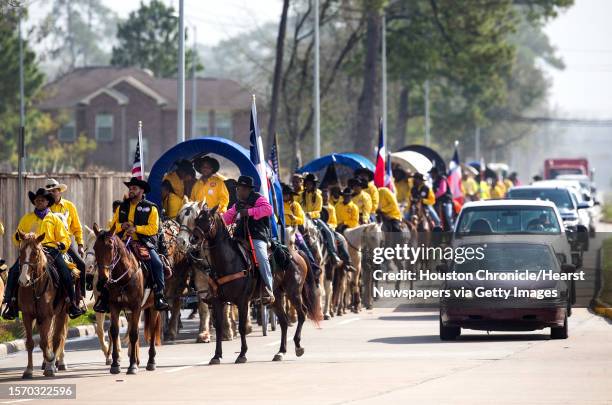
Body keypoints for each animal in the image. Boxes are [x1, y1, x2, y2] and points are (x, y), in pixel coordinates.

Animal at [15, 232, 69, 378]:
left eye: (35, 252)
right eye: (21, 252)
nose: (23, 280)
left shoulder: (47, 316)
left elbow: (45, 342)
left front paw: (50, 361)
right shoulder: (27, 315)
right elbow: (30, 343)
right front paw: (28, 370)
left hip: (61, 313)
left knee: (57, 338)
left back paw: (53, 364)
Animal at [92, 223, 161, 374]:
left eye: (110, 246)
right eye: (95, 248)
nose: (103, 280)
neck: (124, 277)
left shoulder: (136, 307)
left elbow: (134, 334)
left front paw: (132, 365)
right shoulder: (114, 306)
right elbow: (114, 331)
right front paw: (115, 364)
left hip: (154, 307)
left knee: (152, 331)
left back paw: (151, 361)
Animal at [195, 205, 320, 362]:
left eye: (208, 219)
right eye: (196, 219)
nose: (193, 238)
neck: (228, 261)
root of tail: (297, 253)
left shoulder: (242, 301)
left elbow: (242, 327)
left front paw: (242, 354)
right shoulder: (218, 301)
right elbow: (218, 328)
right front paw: (216, 356)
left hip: (293, 292)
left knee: (302, 314)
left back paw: (297, 346)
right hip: (276, 297)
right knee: (284, 321)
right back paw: (281, 352)